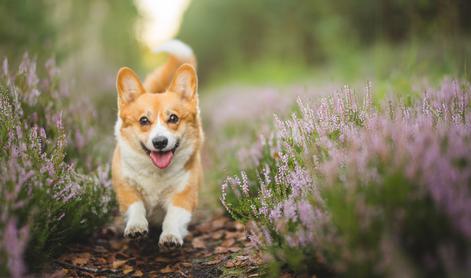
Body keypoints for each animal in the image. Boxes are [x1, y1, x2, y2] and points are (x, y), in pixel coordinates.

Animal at [113, 39, 204, 250]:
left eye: (173, 118)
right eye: (144, 120)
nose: (160, 142)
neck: (156, 172)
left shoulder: (183, 194)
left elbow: (172, 217)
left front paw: (170, 236)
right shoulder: (126, 186)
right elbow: (136, 206)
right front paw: (136, 227)